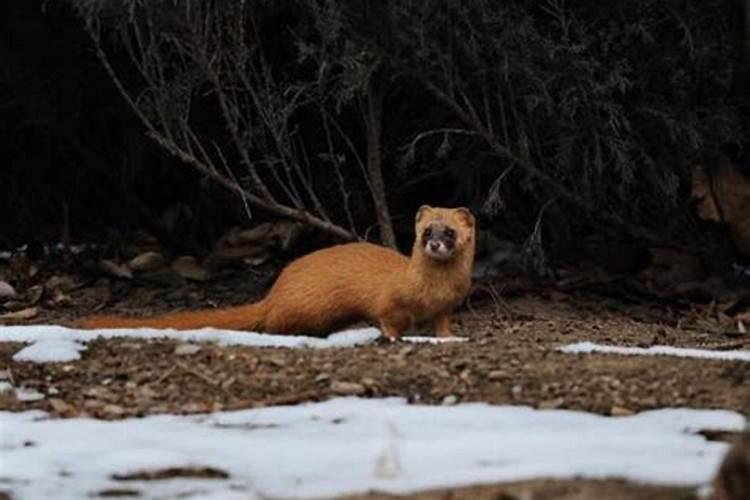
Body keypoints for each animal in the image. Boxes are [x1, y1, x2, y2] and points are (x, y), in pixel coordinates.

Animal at [76, 206, 476, 340]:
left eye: (449, 232)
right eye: (426, 231)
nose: (435, 243)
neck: (433, 290)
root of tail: (275, 291)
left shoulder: (448, 305)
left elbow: (442, 323)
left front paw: (451, 338)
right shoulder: (389, 301)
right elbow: (389, 319)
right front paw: (394, 338)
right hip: (305, 307)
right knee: (273, 323)